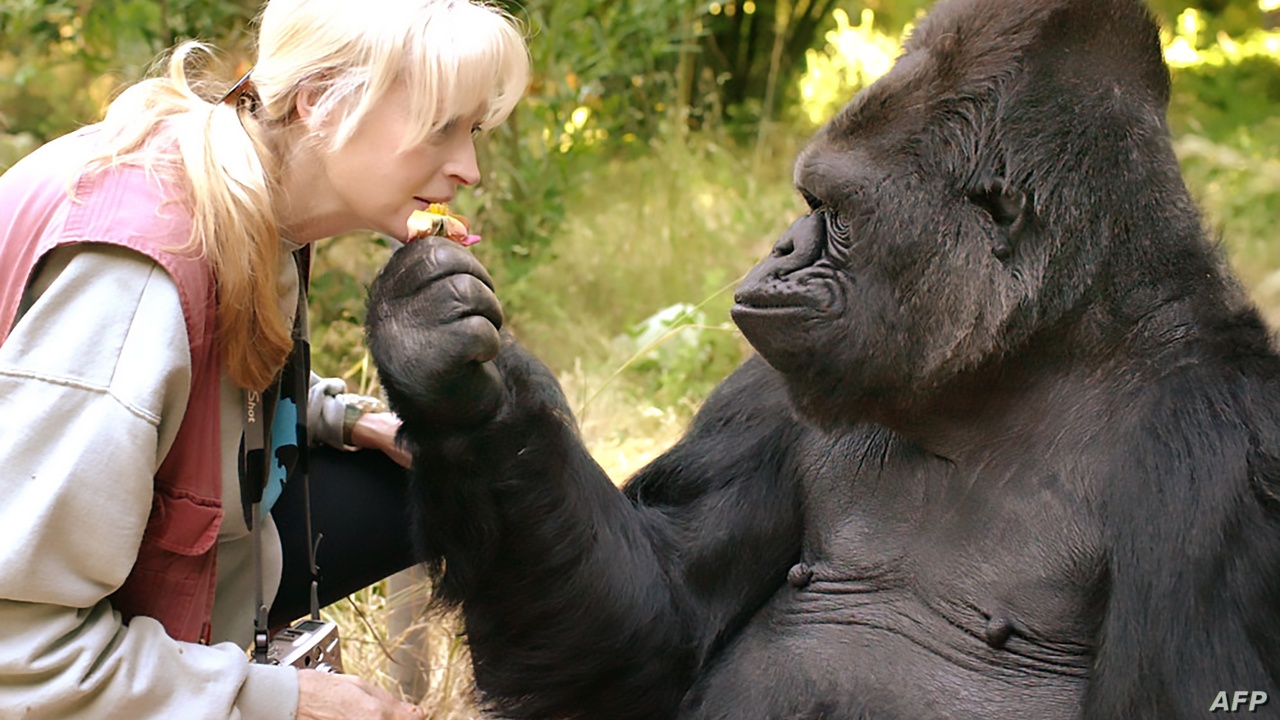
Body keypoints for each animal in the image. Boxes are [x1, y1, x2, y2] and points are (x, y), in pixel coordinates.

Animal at [363, 0, 1280, 712]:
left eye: (830, 211)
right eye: (808, 202)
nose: (779, 248)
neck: (1028, 357)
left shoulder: (1227, 461)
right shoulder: (772, 386)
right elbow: (650, 627)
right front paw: (449, 378)